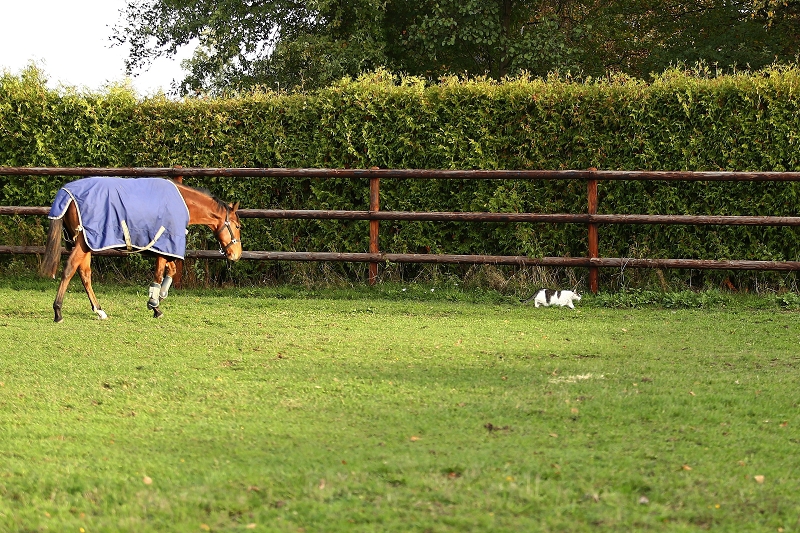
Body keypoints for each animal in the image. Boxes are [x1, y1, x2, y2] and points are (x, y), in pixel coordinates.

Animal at [39, 177, 242, 322]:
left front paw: (160, 296)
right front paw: (155, 305)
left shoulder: (164, 249)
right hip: (83, 243)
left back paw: (99, 311)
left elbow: (171, 271)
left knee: (85, 274)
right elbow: (159, 275)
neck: (183, 203)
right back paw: (58, 311)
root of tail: (67, 193)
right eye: (238, 226)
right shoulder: (163, 245)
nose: (236, 255)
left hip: (87, 243)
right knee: (69, 269)